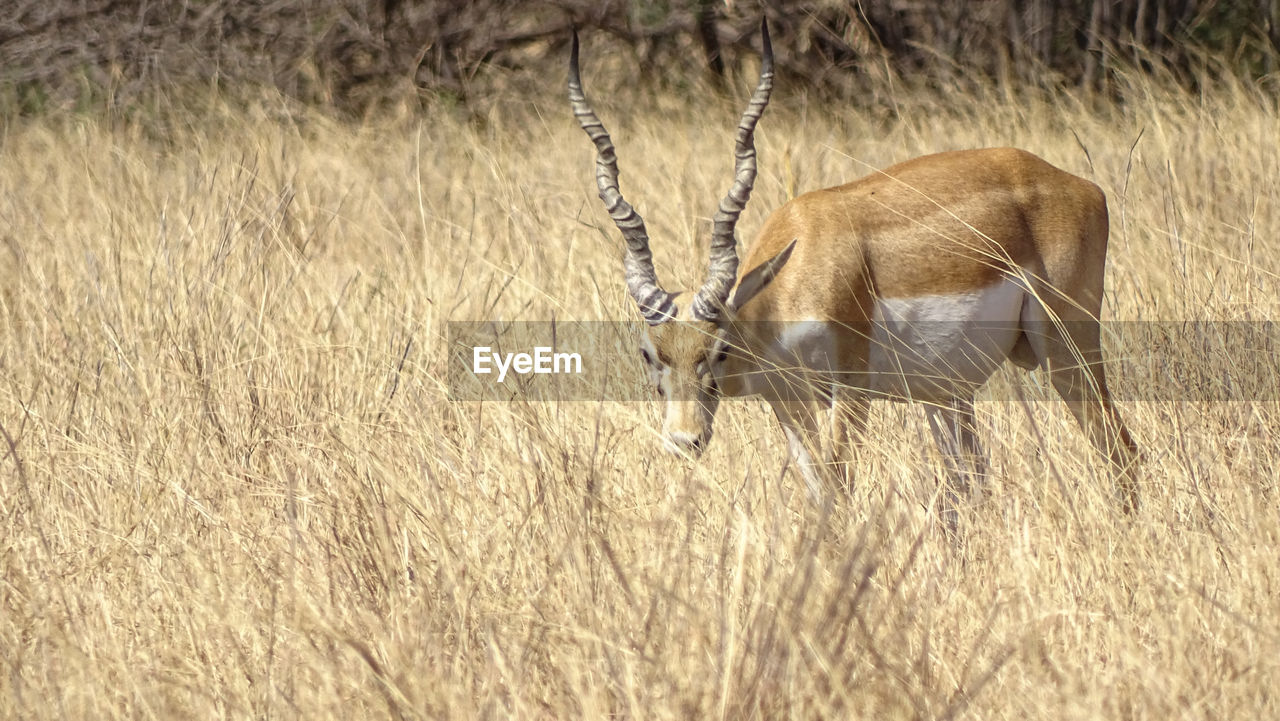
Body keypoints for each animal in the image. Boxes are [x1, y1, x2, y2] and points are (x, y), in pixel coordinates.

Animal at [570, 19, 1141, 522]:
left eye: (719, 350)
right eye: (650, 353)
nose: (684, 440)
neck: (795, 276)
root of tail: (1083, 187)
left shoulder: (850, 392)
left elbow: (838, 491)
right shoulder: (789, 404)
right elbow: (816, 493)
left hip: (1066, 349)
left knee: (1121, 451)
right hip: (946, 392)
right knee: (971, 483)